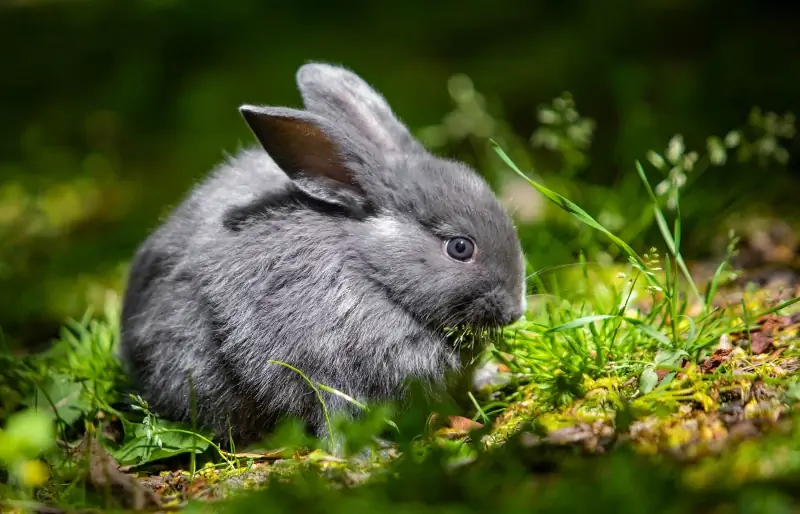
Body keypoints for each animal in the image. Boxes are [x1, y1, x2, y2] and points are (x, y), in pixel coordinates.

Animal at [119, 63, 528, 448]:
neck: (372, 272)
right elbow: (330, 415)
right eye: (460, 247)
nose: (515, 311)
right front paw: (368, 453)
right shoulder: (315, 367)